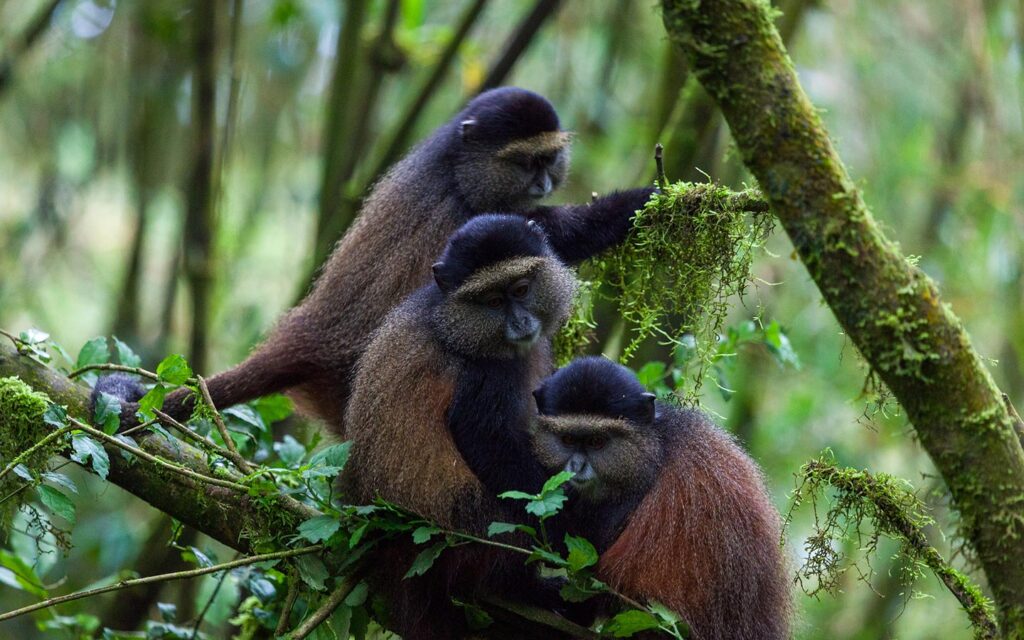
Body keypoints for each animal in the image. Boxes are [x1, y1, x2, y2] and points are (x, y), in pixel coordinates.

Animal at [97, 86, 655, 434]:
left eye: (548, 159)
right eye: (525, 161)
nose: (542, 181)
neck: (456, 169)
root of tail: (311, 334)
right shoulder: (472, 219)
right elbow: (550, 235)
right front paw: (645, 201)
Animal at [342, 215, 581, 638]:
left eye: (521, 289)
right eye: (493, 302)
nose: (520, 322)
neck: (454, 320)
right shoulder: (485, 376)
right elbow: (487, 442)